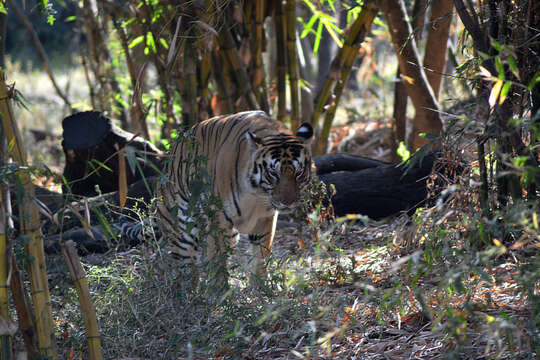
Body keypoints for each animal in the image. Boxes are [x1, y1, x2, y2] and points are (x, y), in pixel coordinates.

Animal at [154, 109, 314, 284]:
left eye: (298, 173)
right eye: (274, 173)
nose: (288, 202)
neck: (257, 194)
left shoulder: (265, 218)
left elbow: (260, 256)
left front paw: (261, 286)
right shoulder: (219, 218)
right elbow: (218, 261)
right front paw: (219, 290)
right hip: (182, 231)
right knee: (185, 269)